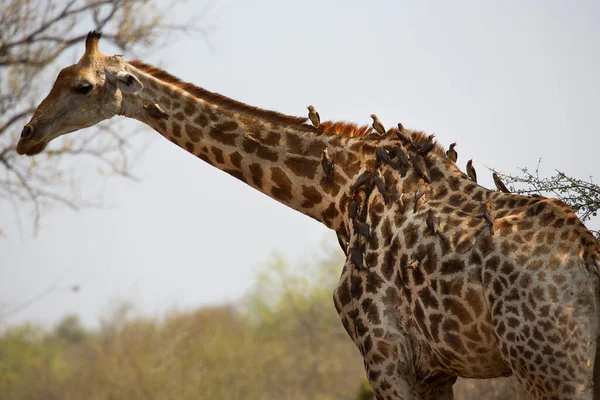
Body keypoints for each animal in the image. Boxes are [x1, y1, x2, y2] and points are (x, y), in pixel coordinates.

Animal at [15, 32, 600, 400]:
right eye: (57, 75)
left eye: (82, 86)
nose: (27, 135)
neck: (334, 197)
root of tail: (586, 257)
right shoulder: (434, 372)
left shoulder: (387, 359)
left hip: (549, 366)